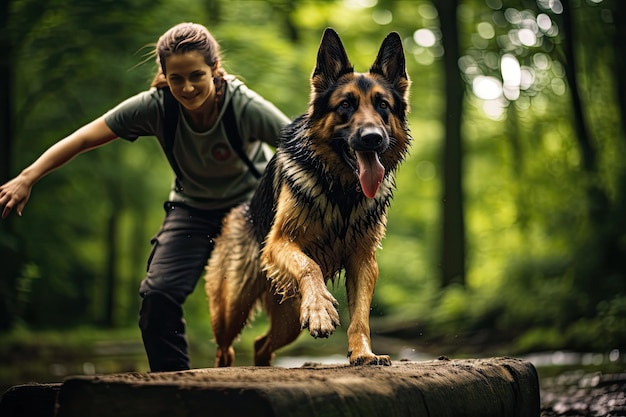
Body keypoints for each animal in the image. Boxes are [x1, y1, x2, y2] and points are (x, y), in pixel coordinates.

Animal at [205, 27, 410, 366]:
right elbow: (309, 266)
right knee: (225, 347)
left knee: (261, 344)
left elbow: (361, 315)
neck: (341, 191)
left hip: (287, 318)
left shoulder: (363, 259)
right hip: (233, 308)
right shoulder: (280, 242)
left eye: (382, 105)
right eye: (345, 105)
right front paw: (319, 311)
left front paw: (363, 353)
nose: (372, 138)